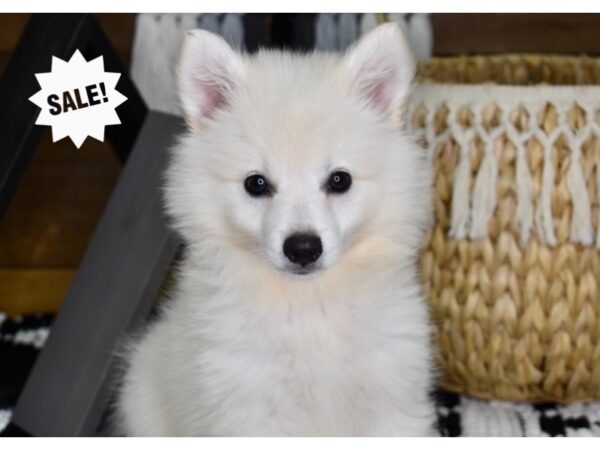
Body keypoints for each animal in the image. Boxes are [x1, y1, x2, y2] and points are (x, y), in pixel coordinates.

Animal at [116, 22, 436, 436]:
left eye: (339, 180)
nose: (303, 248)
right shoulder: (250, 407)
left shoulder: (390, 396)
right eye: (256, 184)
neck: (309, 305)